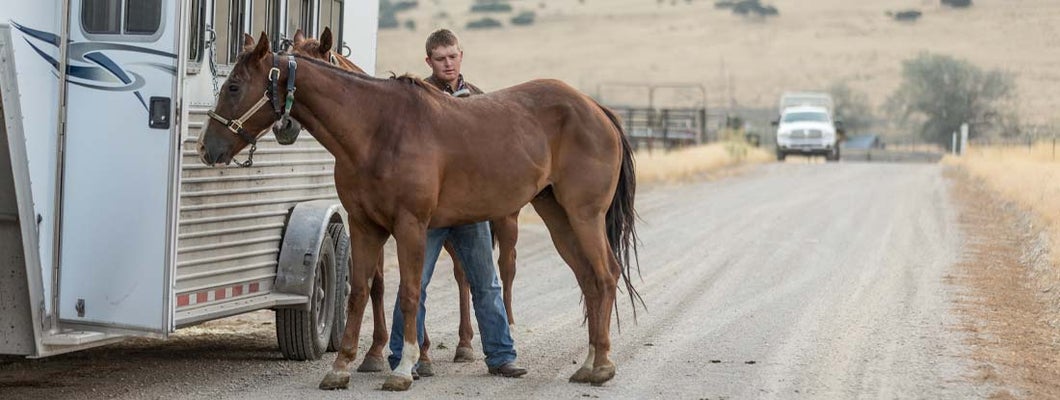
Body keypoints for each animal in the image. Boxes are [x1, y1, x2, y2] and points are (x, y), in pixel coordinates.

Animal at [200, 33, 635, 390]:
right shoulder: (365, 227)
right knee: (588, 280)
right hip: (559, 218)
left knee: (603, 275)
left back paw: (601, 366)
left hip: (583, 217)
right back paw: (589, 362)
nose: (208, 148)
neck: (378, 129)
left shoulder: (410, 226)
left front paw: (404, 368)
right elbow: (361, 293)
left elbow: (409, 294)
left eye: (234, 86)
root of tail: (596, 108)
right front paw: (341, 368)